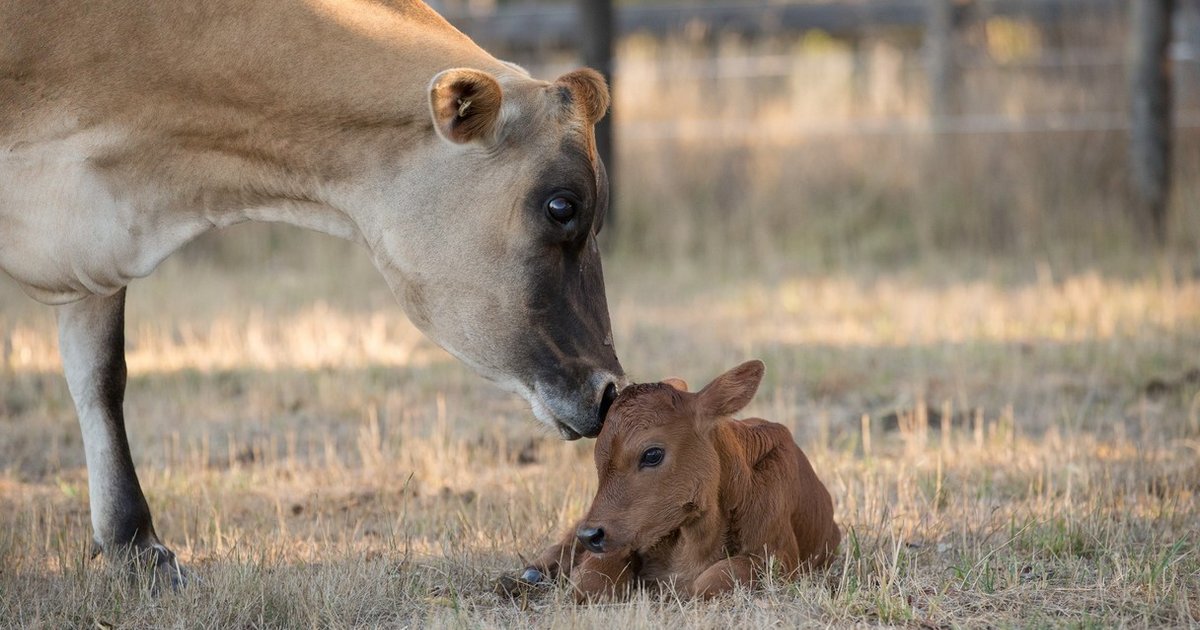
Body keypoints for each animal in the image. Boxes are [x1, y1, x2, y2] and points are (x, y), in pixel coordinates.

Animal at [519, 360, 840, 600]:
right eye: (598, 457)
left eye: (652, 454)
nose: (591, 535)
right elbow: (591, 582)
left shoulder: (780, 559)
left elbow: (714, 580)